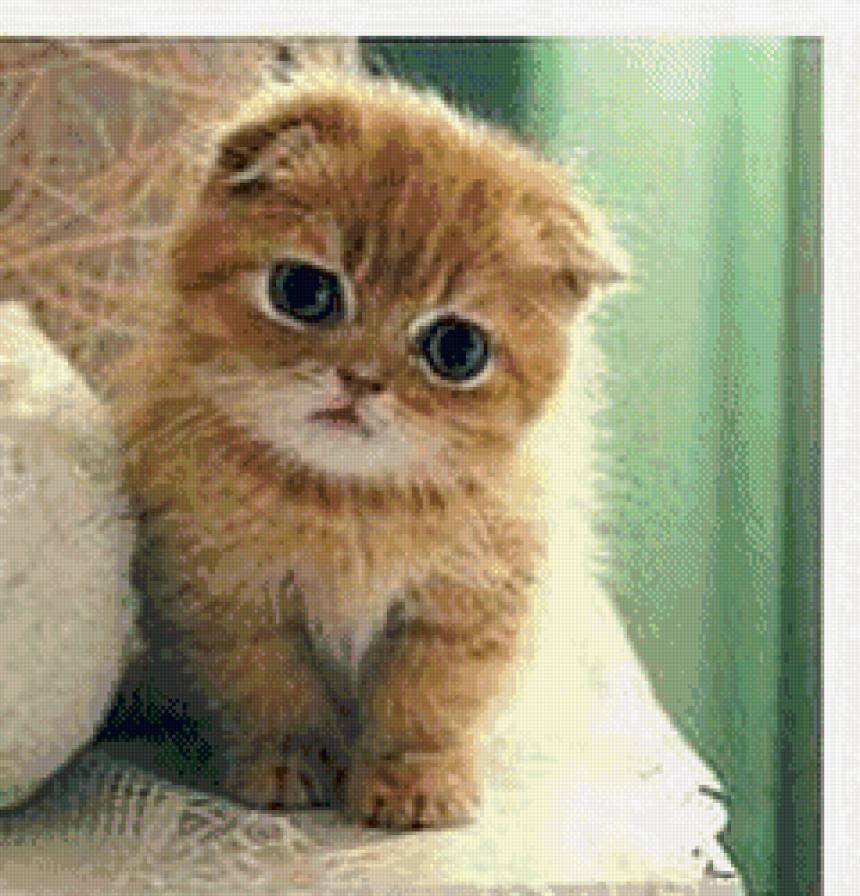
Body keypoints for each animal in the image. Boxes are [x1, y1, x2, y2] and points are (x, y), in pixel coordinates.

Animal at [105, 43, 623, 830]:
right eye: (303, 291)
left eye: (456, 349)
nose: (360, 379)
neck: (349, 500)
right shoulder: (228, 592)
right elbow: (267, 686)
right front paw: (286, 761)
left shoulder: (466, 604)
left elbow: (429, 700)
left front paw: (416, 780)